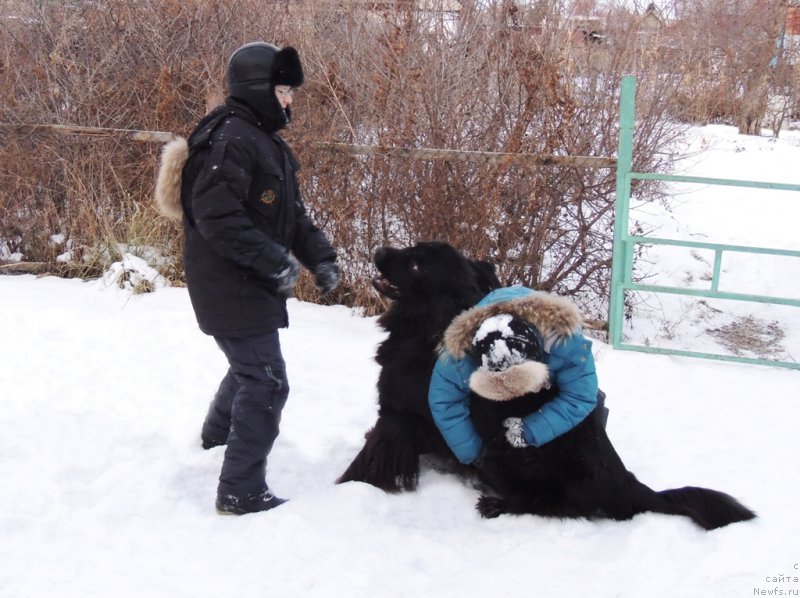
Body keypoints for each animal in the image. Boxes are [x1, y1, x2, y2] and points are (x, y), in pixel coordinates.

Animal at [338, 241, 756, 532]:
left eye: (415, 263)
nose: (379, 250)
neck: (429, 324)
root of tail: (626, 483)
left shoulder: (396, 417)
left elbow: (365, 463)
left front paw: (342, 488)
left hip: (503, 451)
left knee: (549, 505)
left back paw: (494, 505)